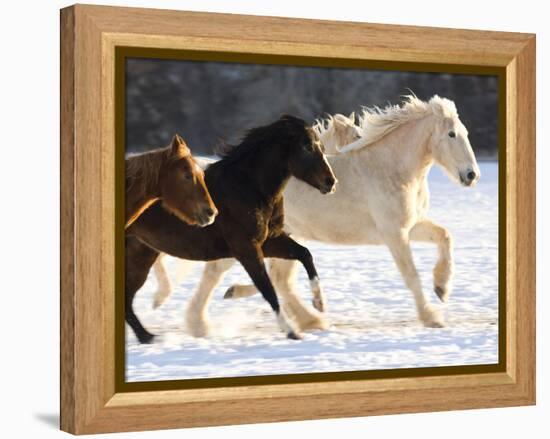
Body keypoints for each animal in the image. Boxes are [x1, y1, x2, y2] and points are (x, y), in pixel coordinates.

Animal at [127, 116, 338, 344]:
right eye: (307, 147)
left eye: (321, 146)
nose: (331, 182)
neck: (249, 187)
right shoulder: (246, 249)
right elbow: (267, 289)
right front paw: (291, 330)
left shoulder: (270, 241)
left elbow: (305, 254)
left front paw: (319, 302)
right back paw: (149, 335)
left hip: (142, 256)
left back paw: (148, 336)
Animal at [156, 95, 484, 336]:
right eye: (452, 134)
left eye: (466, 133)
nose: (471, 175)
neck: (390, 169)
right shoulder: (394, 234)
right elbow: (411, 275)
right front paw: (432, 316)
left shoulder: (410, 226)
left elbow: (444, 236)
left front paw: (442, 288)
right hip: (249, 240)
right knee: (220, 272)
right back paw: (200, 324)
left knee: (279, 280)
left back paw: (308, 319)